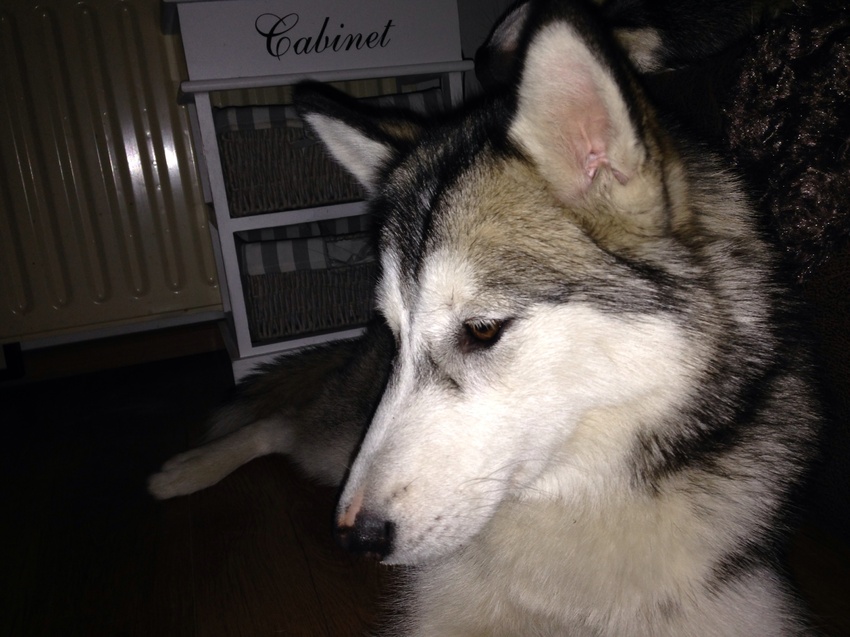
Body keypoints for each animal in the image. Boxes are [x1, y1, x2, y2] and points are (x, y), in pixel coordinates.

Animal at [149, 1, 822, 634]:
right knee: (283, 424)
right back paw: (185, 469)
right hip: (334, 443)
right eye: (395, 334)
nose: (353, 538)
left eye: (481, 330)